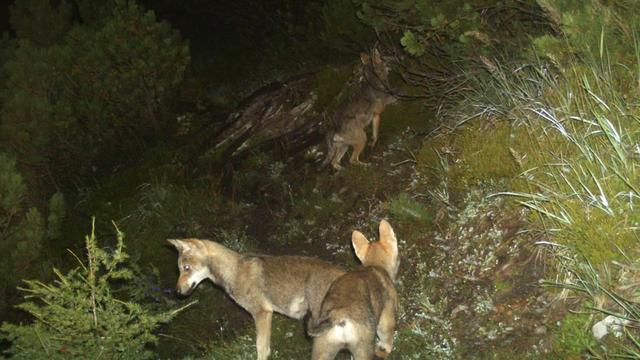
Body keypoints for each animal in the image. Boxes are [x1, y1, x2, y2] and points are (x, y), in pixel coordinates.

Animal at [166, 239, 344, 360]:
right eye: (179, 269)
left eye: (186, 268)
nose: (176, 292)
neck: (233, 271)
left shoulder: (262, 313)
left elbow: (261, 349)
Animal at [306, 219, 400, 360]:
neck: (375, 265)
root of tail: (338, 316)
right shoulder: (386, 318)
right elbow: (387, 338)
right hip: (363, 349)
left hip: (322, 349)